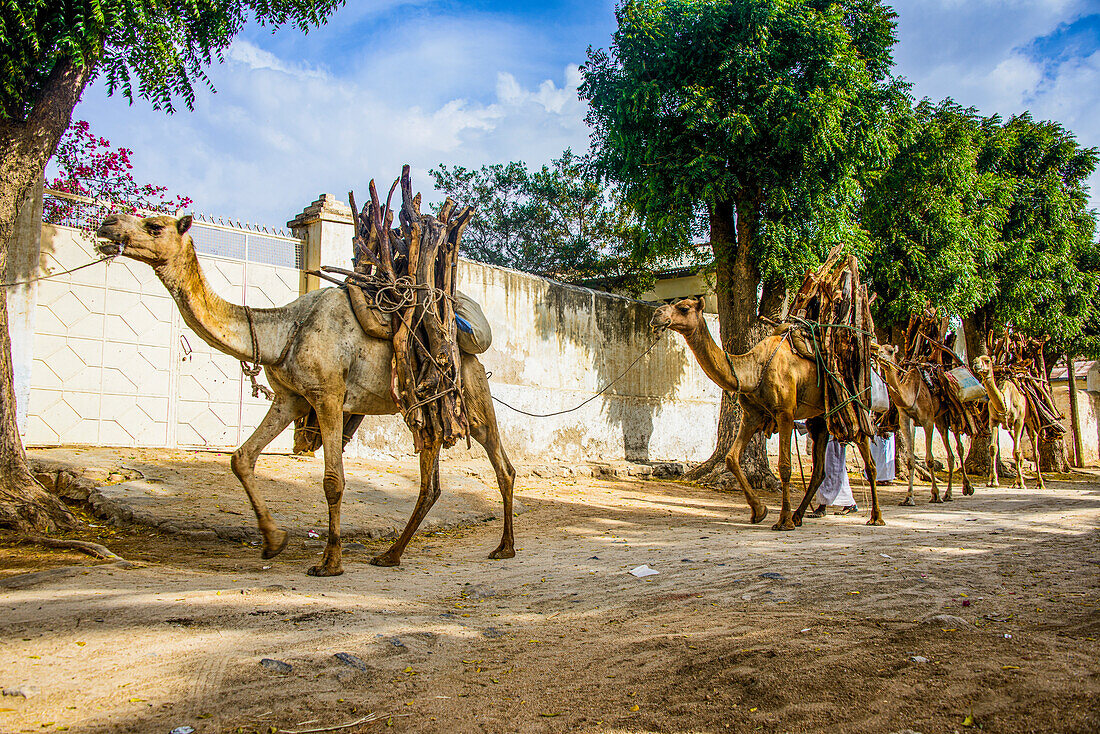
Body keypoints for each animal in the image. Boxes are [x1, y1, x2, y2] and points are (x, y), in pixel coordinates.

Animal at [93, 209, 514, 576]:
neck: (284, 331)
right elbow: (241, 458)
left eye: (154, 225)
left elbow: (333, 481)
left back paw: (502, 548)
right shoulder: (290, 397)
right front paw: (273, 541)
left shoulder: (327, 395)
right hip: (423, 410)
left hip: (468, 393)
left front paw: (329, 563)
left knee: (499, 464)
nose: (108, 223)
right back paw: (393, 555)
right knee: (434, 484)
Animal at [646, 294, 880, 530]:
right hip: (819, 418)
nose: (656, 315)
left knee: (868, 459)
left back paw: (875, 517)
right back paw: (800, 515)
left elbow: (784, 466)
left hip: (852, 406)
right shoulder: (752, 416)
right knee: (819, 469)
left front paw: (783, 520)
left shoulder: (785, 412)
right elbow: (731, 458)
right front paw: (759, 511)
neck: (754, 370)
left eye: (684, 308)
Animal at [972, 354, 1038, 488]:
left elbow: (1016, 452)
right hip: (1011, 426)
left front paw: (1022, 483)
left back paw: (1039, 483)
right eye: (976, 359)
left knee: (1034, 445)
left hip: (1029, 418)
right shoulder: (993, 421)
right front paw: (992, 481)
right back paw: (1015, 482)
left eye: (987, 361)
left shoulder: (1019, 421)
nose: (975, 364)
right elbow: (993, 448)